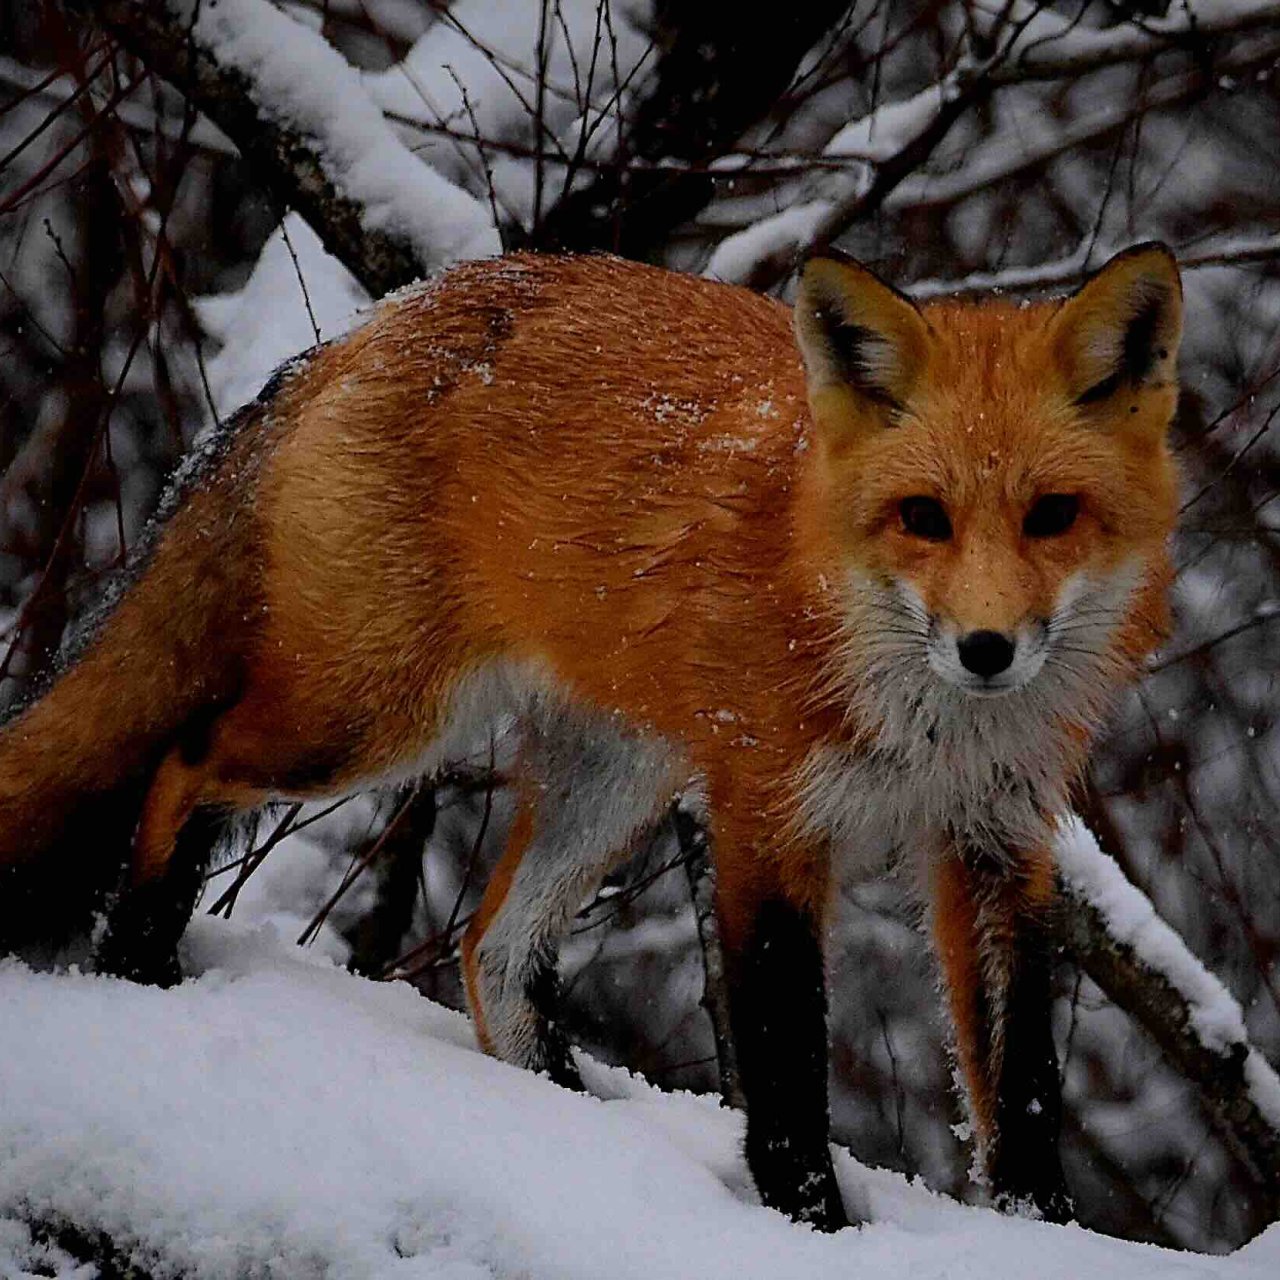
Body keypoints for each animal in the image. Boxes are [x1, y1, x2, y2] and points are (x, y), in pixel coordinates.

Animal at [0, 244, 1181, 1231]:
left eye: (1051, 515)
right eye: (923, 518)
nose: (985, 649)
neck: (925, 722)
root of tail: (370, 322)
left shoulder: (995, 838)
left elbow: (1020, 1080)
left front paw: (1039, 1231)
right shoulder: (766, 817)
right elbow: (786, 1063)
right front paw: (814, 1227)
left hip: (614, 777)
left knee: (491, 946)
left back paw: (566, 1126)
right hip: (369, 717)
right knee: (181, 769)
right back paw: (137, 963)